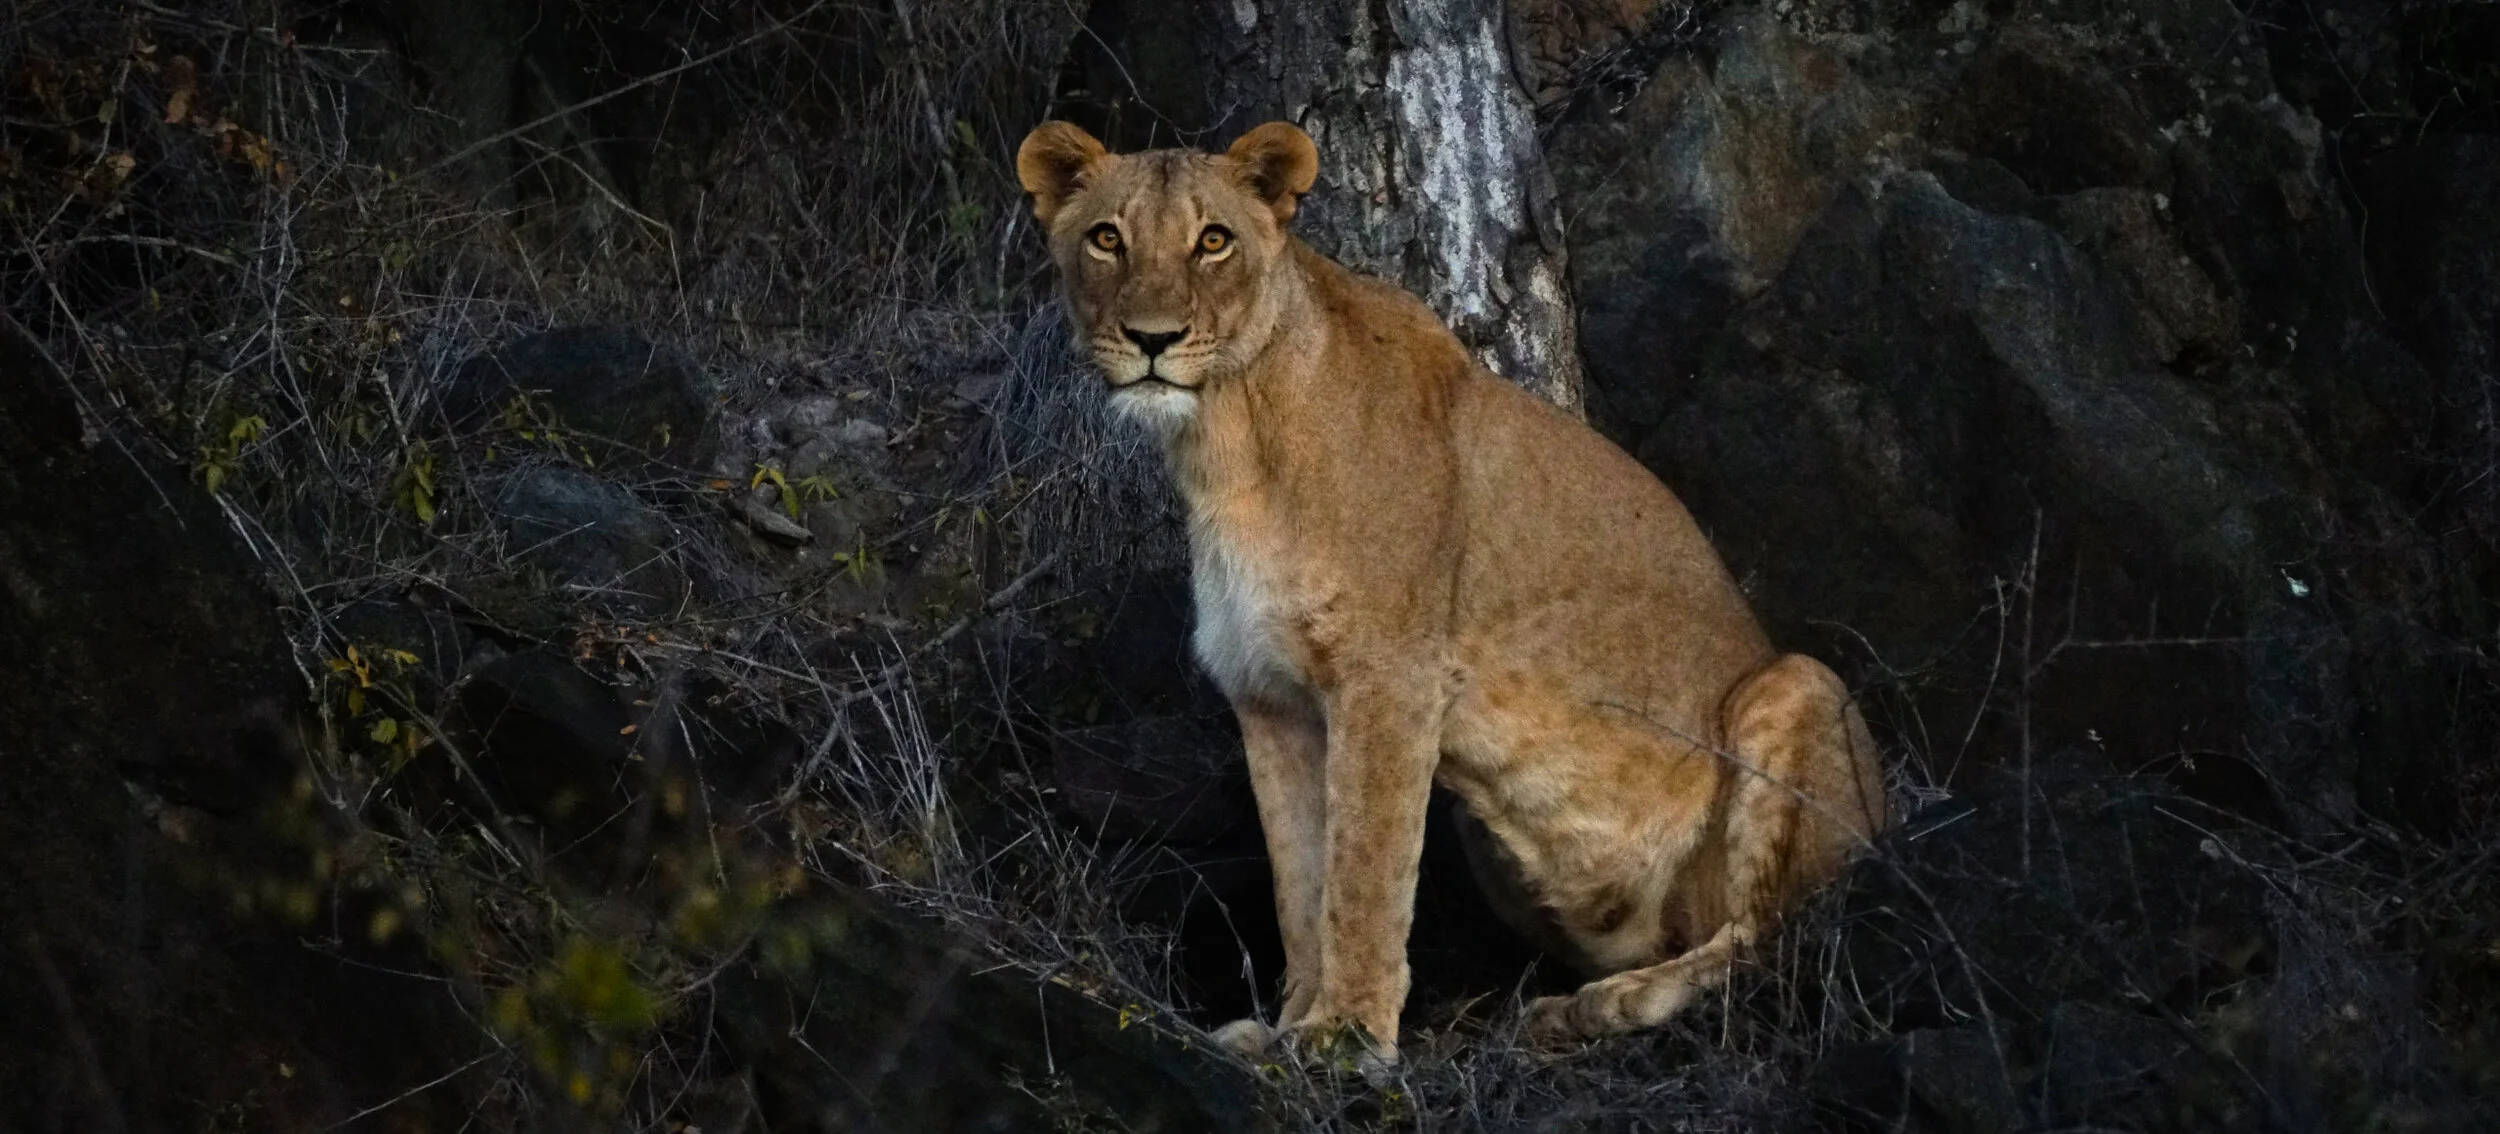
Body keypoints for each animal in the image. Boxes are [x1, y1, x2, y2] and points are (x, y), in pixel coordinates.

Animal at [1016, 120, 1889, 1057]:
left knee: (1772, 940)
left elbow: (1364, 868)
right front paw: (1285, 1029)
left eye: (1212, 241)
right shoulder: (1271, 695)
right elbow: (1300, 882)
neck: (1224, 444)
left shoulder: (1390, 677)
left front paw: (1344, 1037)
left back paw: (1608, 1004)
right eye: (1108, 238)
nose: (1152, 338)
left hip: (1801, 684)